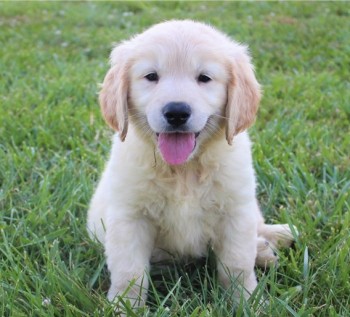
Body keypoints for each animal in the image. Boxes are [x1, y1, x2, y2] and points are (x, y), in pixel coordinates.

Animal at [87, 19, 296, 306]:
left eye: (204, 78)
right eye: (151, 76)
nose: (176, 112)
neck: (183, 170)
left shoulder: (235, 211)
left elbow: (238, 265)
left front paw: (247, 302)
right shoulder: (129, 216)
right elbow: (129, 272)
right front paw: (124, 306)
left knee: (258, 225)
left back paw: (275, 239)